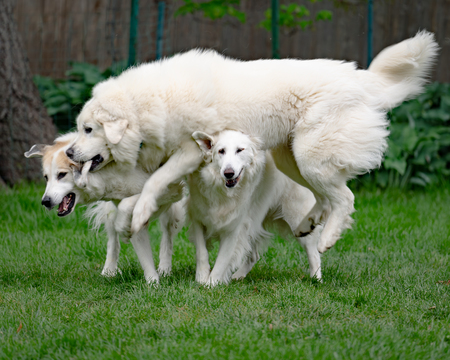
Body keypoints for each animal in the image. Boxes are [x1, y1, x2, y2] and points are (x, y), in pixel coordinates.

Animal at [24, 134, 185, 282]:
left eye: (62, 174)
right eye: (46, 177)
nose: (45, 201)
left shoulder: (171, 190)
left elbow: (135, 201)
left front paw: (153, 283)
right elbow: (142, 252)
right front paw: (152, 282)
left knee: (167, 235)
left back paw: (165, 269)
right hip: (111, 212)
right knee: (113, 239)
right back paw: (109, 271)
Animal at [67, 33, 440, 253]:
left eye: (88, 129)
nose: (69, 153)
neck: (152, 104)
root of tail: (360, 78)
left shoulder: (190, 151)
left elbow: (153, 183)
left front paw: (140, 213)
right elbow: (142, 192)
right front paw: (128, 220)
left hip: (309, 157)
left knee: (344, 198)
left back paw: (327, 239)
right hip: (294, 160)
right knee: (325, 197)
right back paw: (306, 225)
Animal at [188, 129, 322, 284]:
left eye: (240, 150)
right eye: (221, 151)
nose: (228, 173)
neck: (225, 192)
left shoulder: (234, 229)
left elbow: (222, 260)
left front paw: (211, 284)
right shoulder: (198, 219)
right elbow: (201, 252)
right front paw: (201, 278)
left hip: (298, 221)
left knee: (314, 254)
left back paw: (316, 280)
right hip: (254, 221)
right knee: (254, 256)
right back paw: (238, 276)